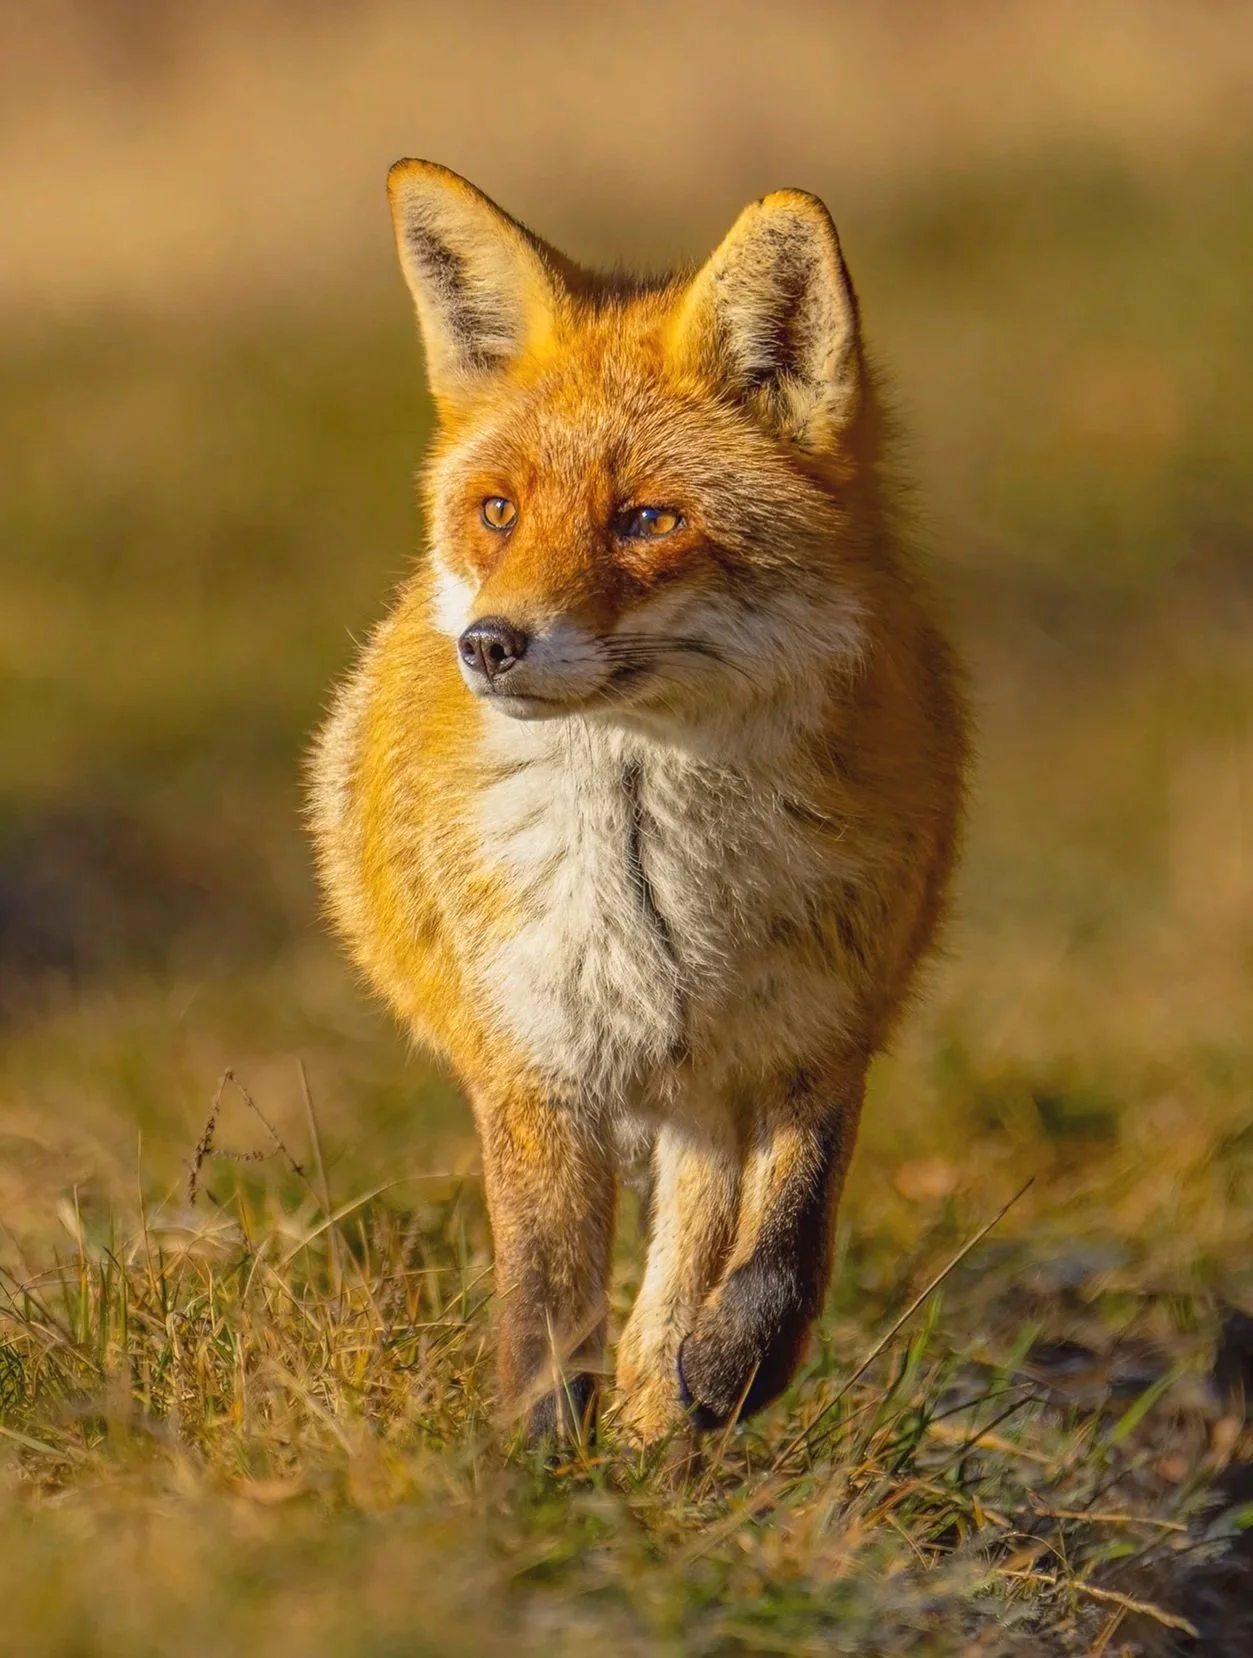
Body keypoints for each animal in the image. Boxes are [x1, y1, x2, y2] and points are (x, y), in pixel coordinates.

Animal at [309, 159, 969, 1447]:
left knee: (689, 1259)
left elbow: (784, 1250)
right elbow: (546, 1299)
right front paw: (541, 1464)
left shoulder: (819, 1030)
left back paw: (669, 1410)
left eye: (648, 519)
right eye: (499, 510)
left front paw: (725, 1371)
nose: (488, 644)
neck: (649, 866)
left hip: (710, 1089)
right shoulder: (533, 1059)